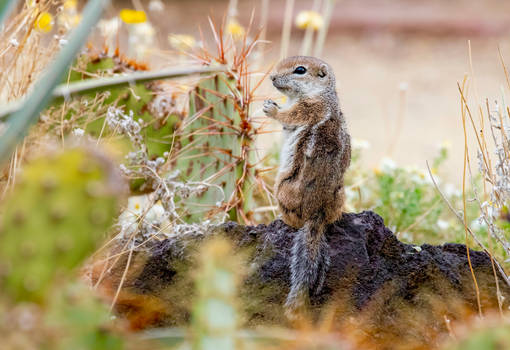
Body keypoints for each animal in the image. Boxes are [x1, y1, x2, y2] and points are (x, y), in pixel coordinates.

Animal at [262, 55, 350, 318]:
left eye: (300, 70)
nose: (272, 77)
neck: (322, 93)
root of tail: (316, 215)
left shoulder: (307, 109)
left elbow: (288, 118)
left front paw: (271, 108)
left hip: (280, 190)